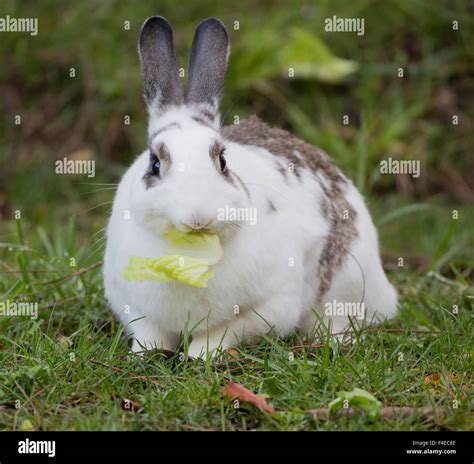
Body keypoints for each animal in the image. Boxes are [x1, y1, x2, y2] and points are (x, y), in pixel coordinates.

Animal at [103, 16, 396, 358]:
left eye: (222, 161)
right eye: (155, 165)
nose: (198, 216)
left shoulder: (270, 305)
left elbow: (226, 331)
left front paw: (200, 355)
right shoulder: (133, 306)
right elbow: (150, 333)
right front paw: (144, 354)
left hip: (347, 286)